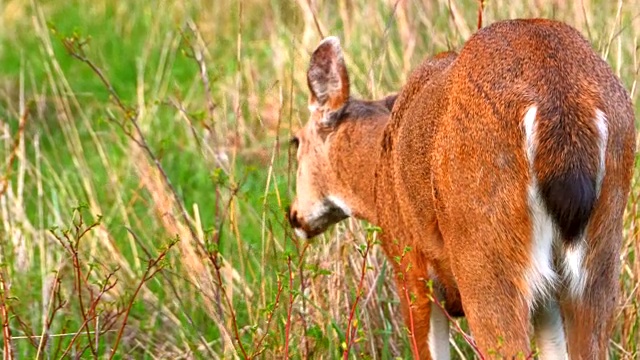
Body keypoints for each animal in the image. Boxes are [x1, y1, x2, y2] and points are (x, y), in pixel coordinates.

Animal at [288, 19, 636, 360]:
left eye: (296, 142)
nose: (293, 215)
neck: (378, 173)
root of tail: (561, 106)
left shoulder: (410, 266)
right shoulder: (548, 295)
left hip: (484, 255)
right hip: (599, 260)